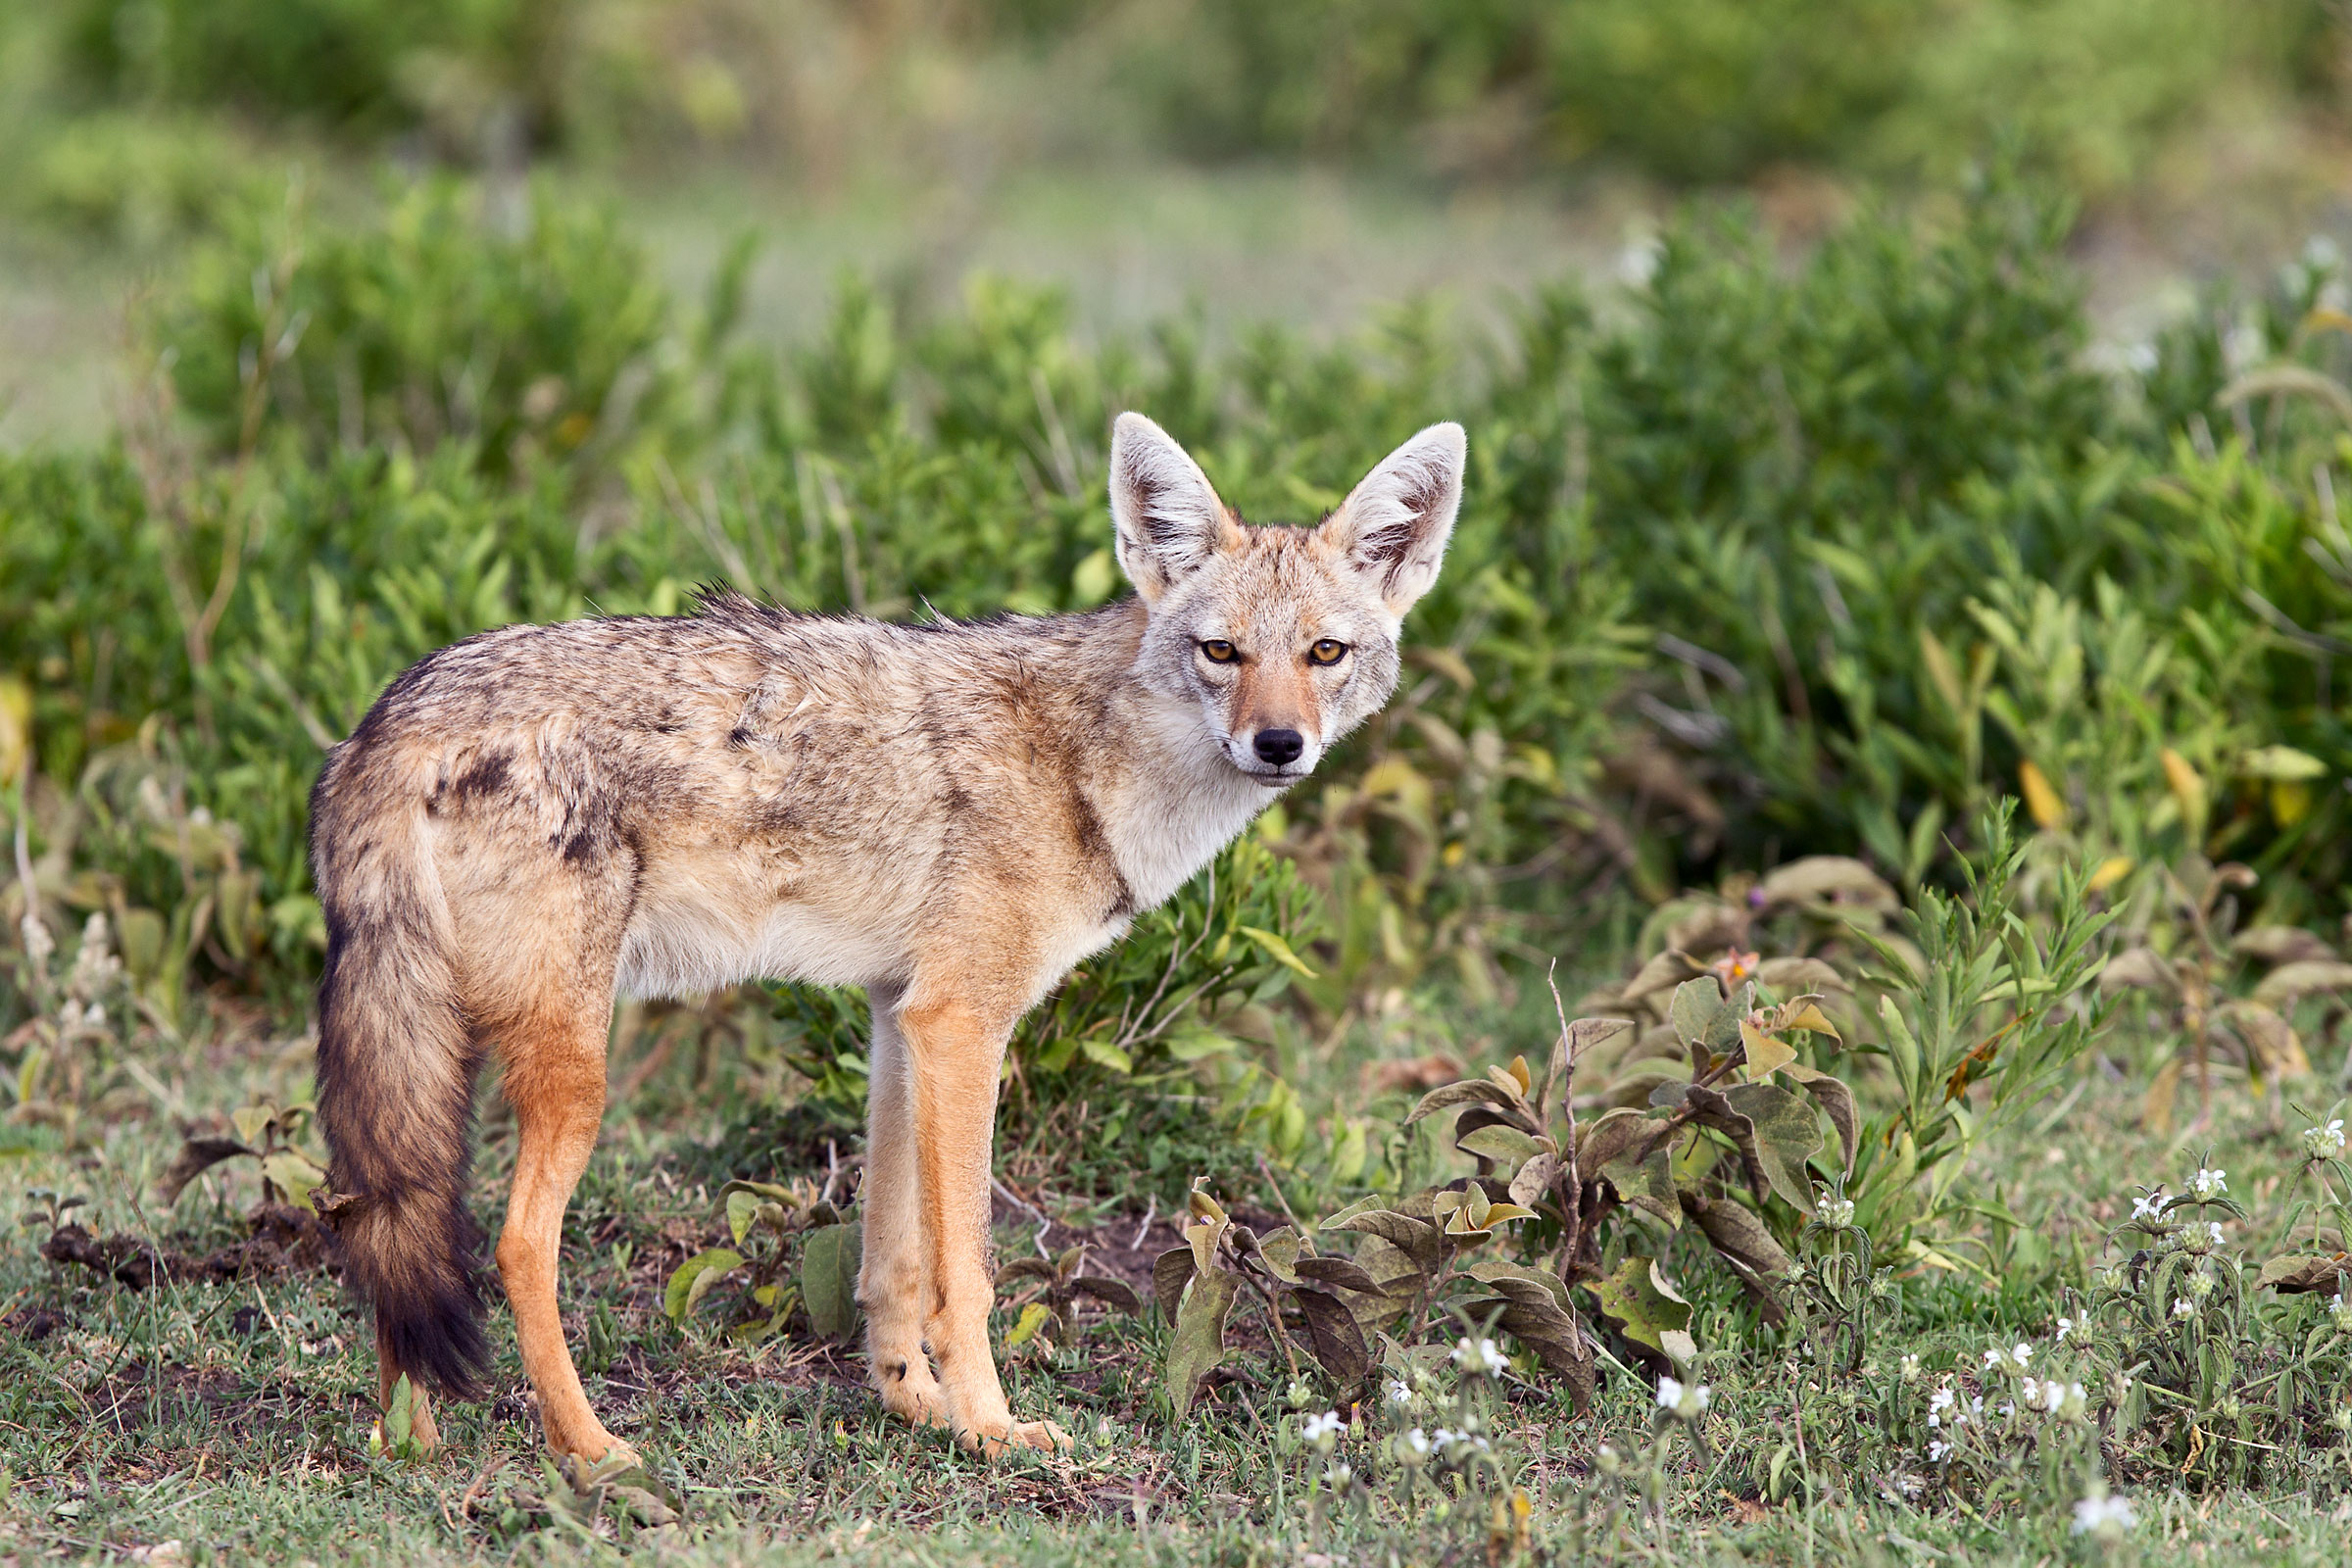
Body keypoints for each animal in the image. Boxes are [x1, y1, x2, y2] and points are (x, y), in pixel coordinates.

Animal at [309, 411, 1464, 1461]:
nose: (1279, 743)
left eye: (1324, 652)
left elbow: (895, 1262)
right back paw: (591, 1451)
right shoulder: (962, 1023)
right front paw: (995, 1430)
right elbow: (970, 1271)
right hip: (572, 1071)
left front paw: (916, 1408)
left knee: (381, 1226)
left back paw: (409, 1446)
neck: (1092, 767)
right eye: (1222, 651)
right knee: (511, 1247)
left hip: (439, 1064)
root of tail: (388, 715)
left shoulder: (899, 1016)